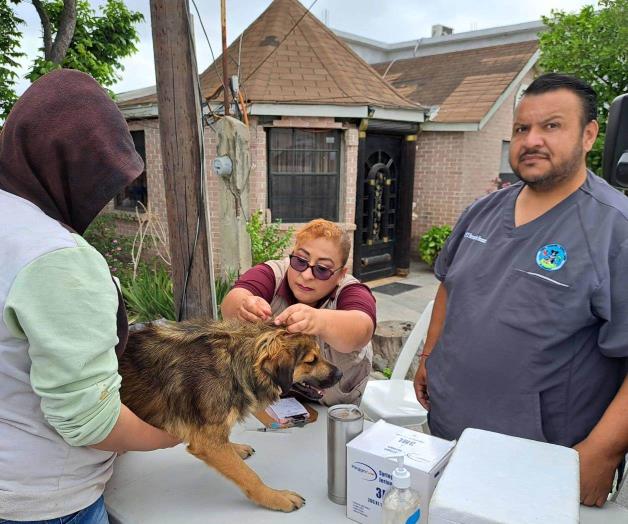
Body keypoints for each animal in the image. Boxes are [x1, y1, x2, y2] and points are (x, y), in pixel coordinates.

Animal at [118, 320, 344, 512]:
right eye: (311, 361)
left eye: (320, 355)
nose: (340, 374)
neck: (235, 363)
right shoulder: (207, 441)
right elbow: (248, 475)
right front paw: (275, 497)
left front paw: (235, 448)